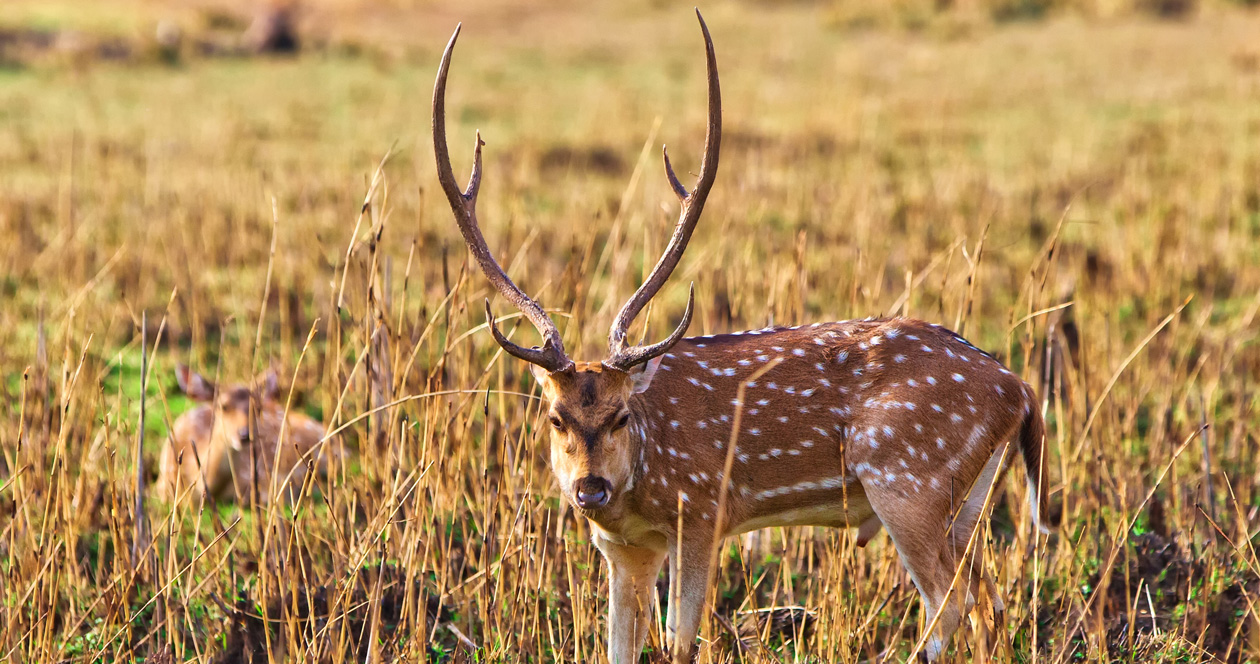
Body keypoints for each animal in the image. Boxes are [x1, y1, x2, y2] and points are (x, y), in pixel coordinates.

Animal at [433, 11, 1053, 664]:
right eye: (555, 418)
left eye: (622, 415)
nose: (590, 491)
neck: (644, 484)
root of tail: (1020, 390)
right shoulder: (624, 548)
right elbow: (619, 646)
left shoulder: (704, 512)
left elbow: (680, 641)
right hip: (966, 500)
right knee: (991, 601)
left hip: (908, 479)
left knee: (951, 603)